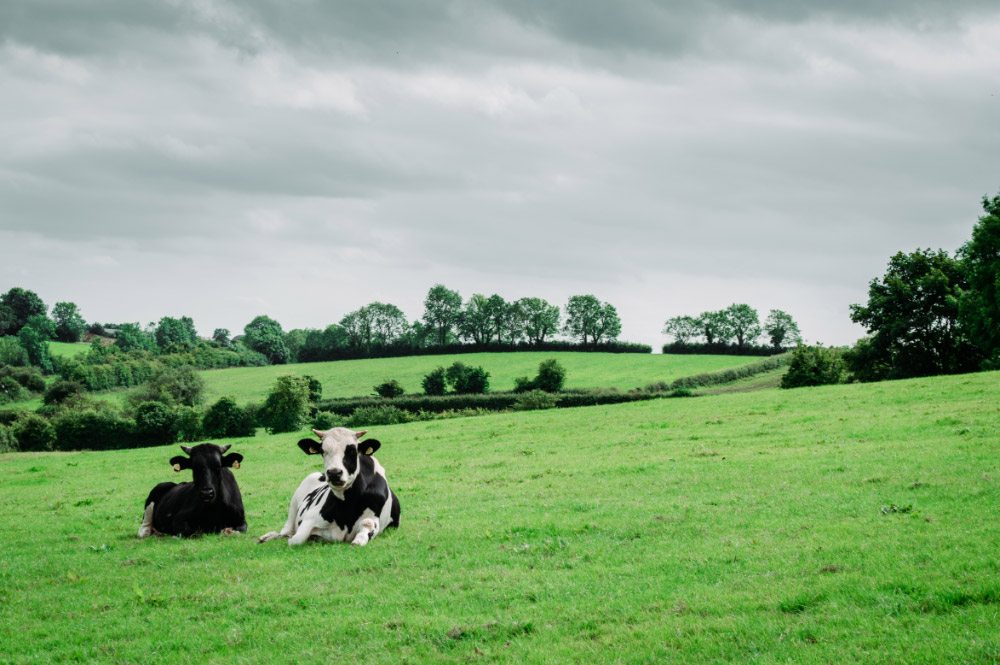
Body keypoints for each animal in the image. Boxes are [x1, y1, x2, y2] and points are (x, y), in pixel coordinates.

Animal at [257, 427, 400, 547]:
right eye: (323, 451)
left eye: (352, 451)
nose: (334, 473)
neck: (348, 504)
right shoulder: (310, 516)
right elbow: (296, 539)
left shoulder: (373, 517)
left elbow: (366, 527)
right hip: (293, 507)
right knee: (285, 532)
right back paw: (267, 537)